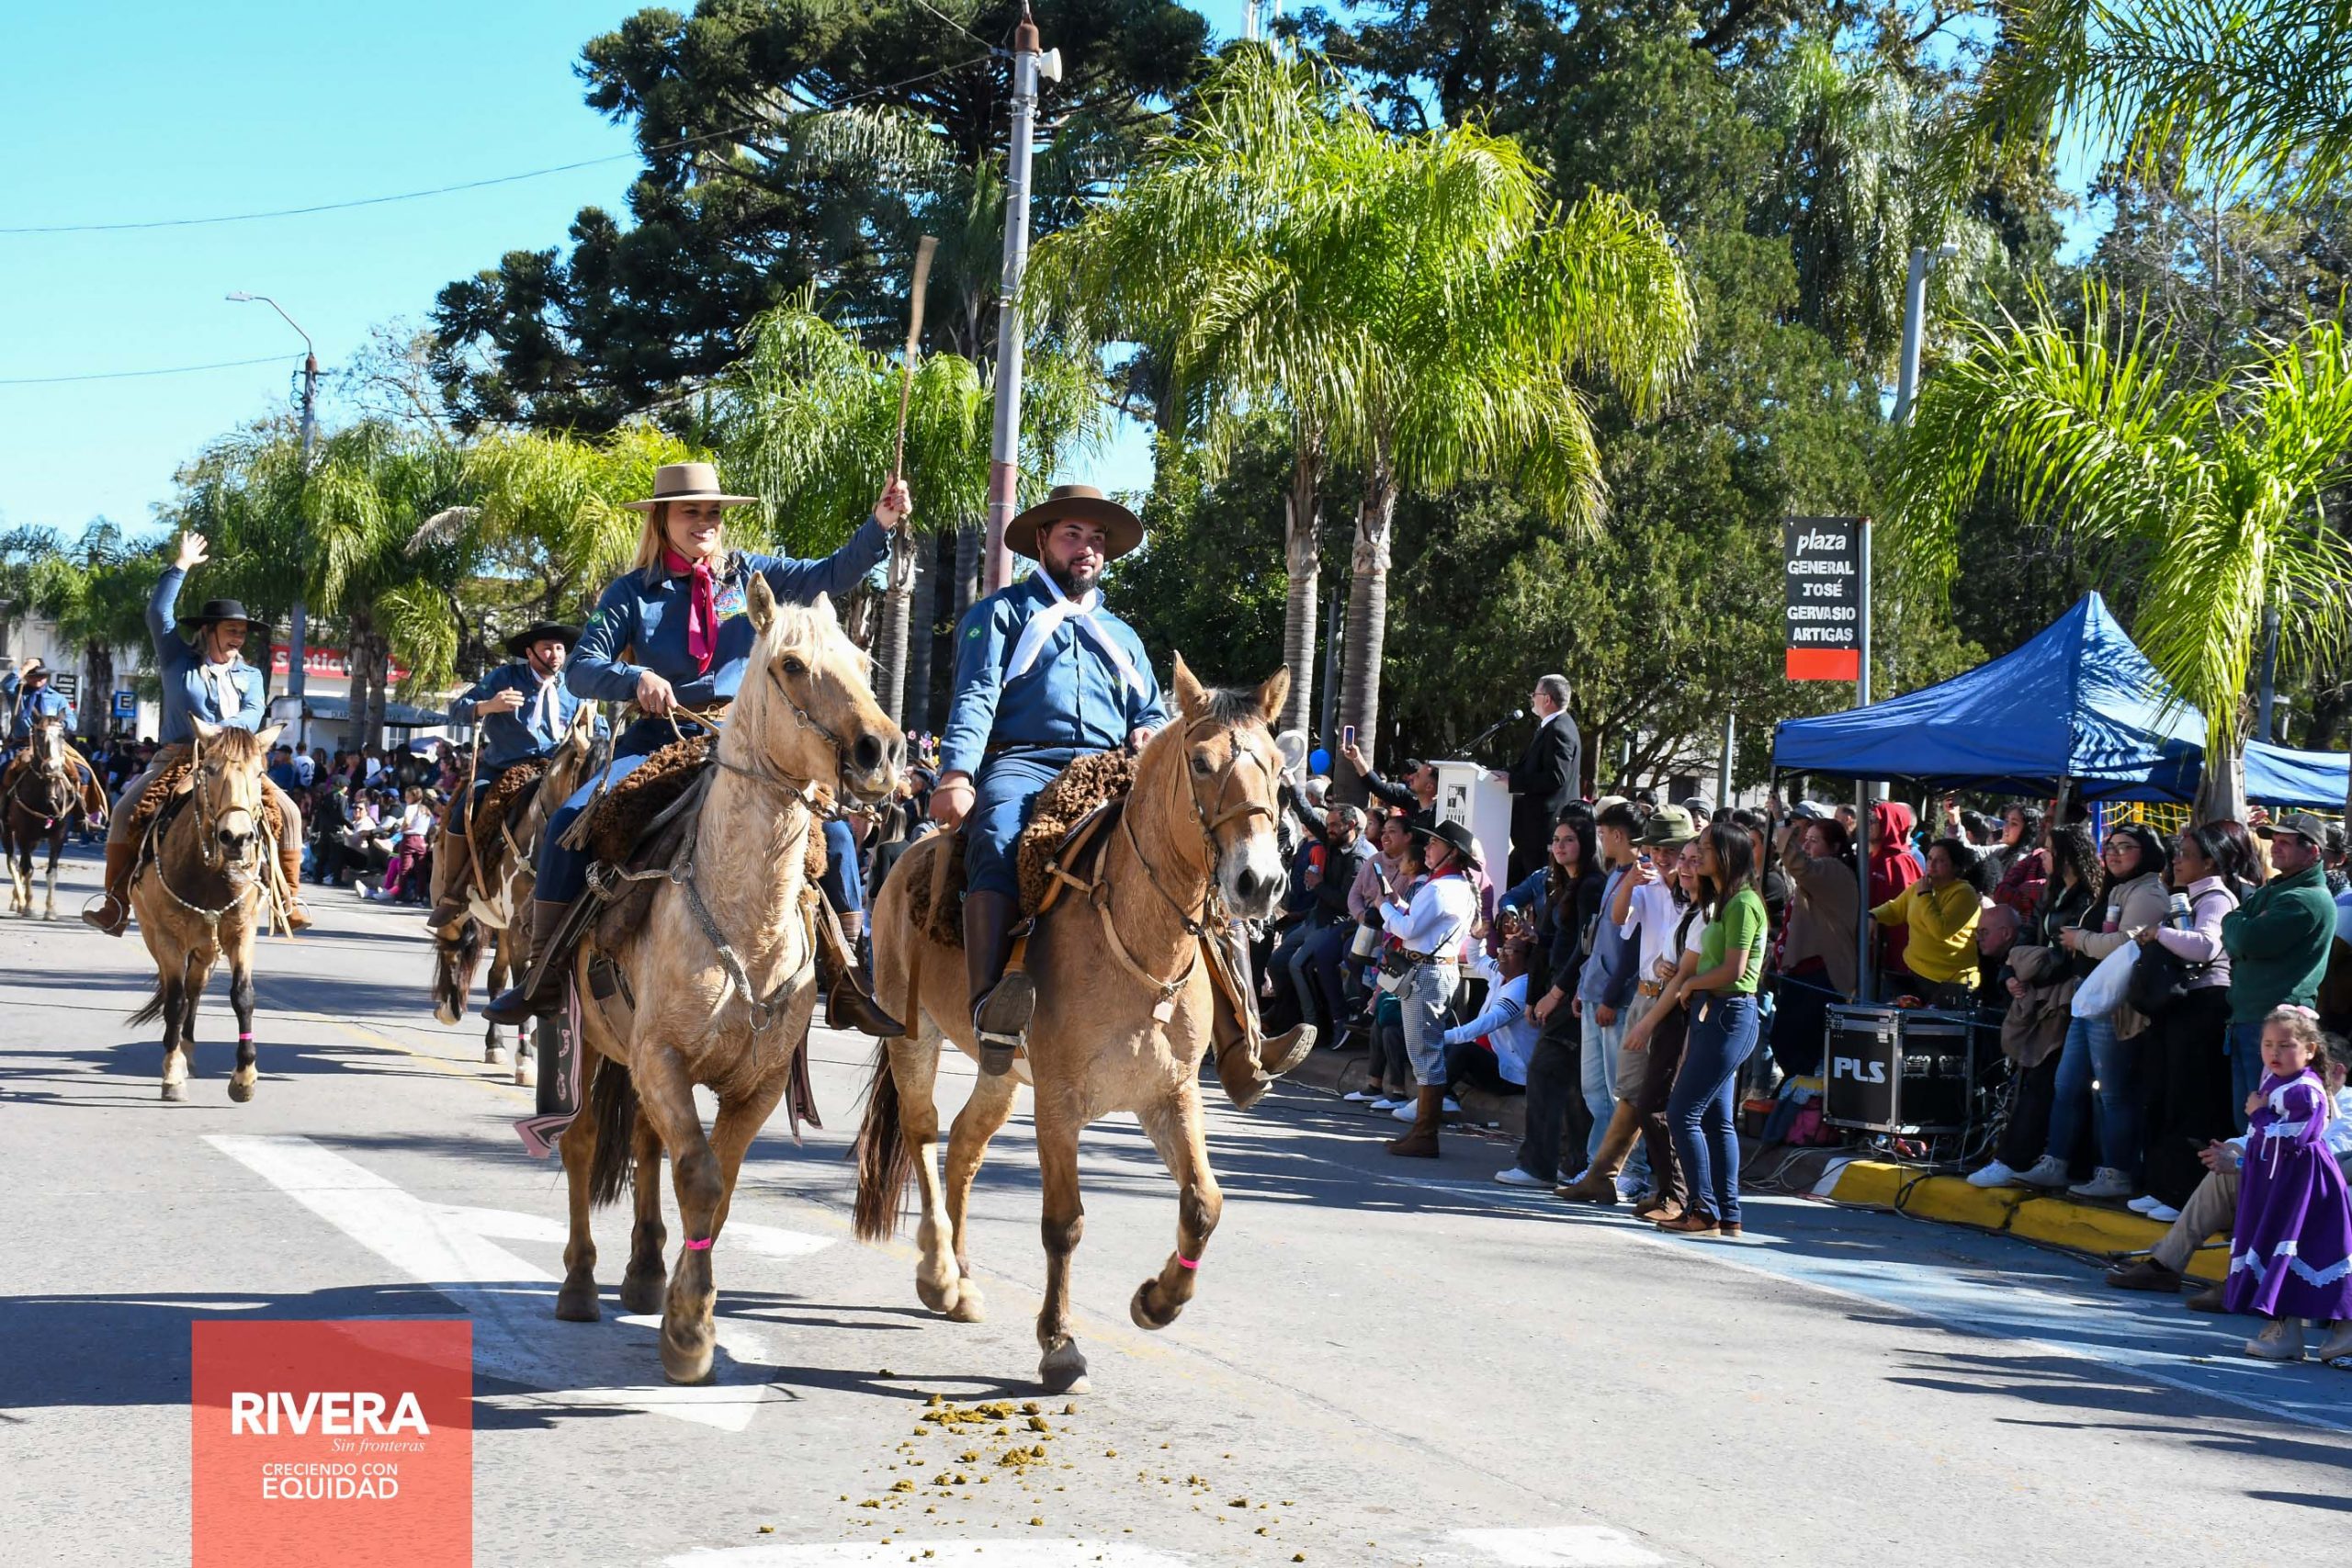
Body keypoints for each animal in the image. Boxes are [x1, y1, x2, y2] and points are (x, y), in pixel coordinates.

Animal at [2, 715, 91, 920]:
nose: (53, 767)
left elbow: (52, 872)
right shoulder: (23, 834)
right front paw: (28, 906)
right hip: (7, 830)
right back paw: (20, 900)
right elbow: (27, 869)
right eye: (40, 734)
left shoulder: (58, 836)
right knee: (13, 862)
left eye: (61, 735)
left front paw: (50, 910)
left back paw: (16, 901)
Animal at [126, 720, 284, 1103]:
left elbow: (243, 997)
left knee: (196, 987)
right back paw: (179, 1057)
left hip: (207, 947)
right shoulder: (168, 939)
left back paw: (188, 1048)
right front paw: (171, 1075)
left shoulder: (242, 933)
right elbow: (174, 1001)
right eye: (210, 769)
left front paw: (244, 1077)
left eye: (260, 772)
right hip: (161, 937)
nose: (236, 838)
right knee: (180, 993)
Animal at [430, 704, 603, 1083]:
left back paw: (495, 1044)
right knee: (450, 944)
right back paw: (449, 1007)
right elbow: (525, 981)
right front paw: (526, 1059)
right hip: (455, 904)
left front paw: (530, 1046)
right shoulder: (523, 928)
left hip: (504, 929)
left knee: (495, 979)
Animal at [554, 579, 902, 1385]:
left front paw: (686, 1309)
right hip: (588, 1043)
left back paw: (644, 1271)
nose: (882, 750)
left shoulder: (759, 1081)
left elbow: (721, 1182)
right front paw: (689, 1334)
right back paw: (580, 1282)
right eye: (793, 664)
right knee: (582, 1142)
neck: (746, 918)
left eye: (864, 659)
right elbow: (702, 1177)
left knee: (645, 1143)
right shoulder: (661, 1057)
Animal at [855, 659, 1292, 1394]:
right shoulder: (1059, 1103)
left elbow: (1203, 1203)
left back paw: (963, 1279)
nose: (1258, 881)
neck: (1140, 947)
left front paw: (1158, 1301)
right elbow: (1064, 1224)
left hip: (1001, 1070)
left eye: (1281, 768)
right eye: (1202, 762)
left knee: (965, 1144)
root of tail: (907, 850)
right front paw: (1059, 1343)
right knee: (923, 1134)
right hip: (912, 1036)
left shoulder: (1169, 1096)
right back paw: (939, 1273)